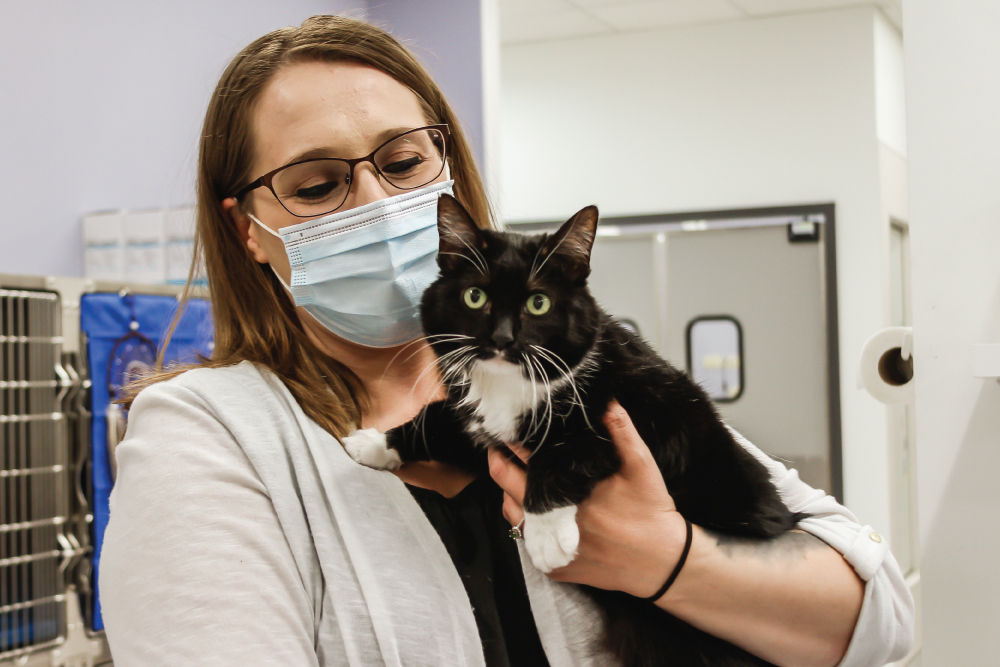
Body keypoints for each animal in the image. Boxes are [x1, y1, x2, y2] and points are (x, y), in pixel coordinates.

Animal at [344, 196, 804, 664]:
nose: (502, 338)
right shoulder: (481, 428)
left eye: (538, 303)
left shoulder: (640, 416)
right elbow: (440, 420)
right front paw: (374, 442)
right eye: (475, 296)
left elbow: (565, 451)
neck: (510, 386)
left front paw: (547, 536)